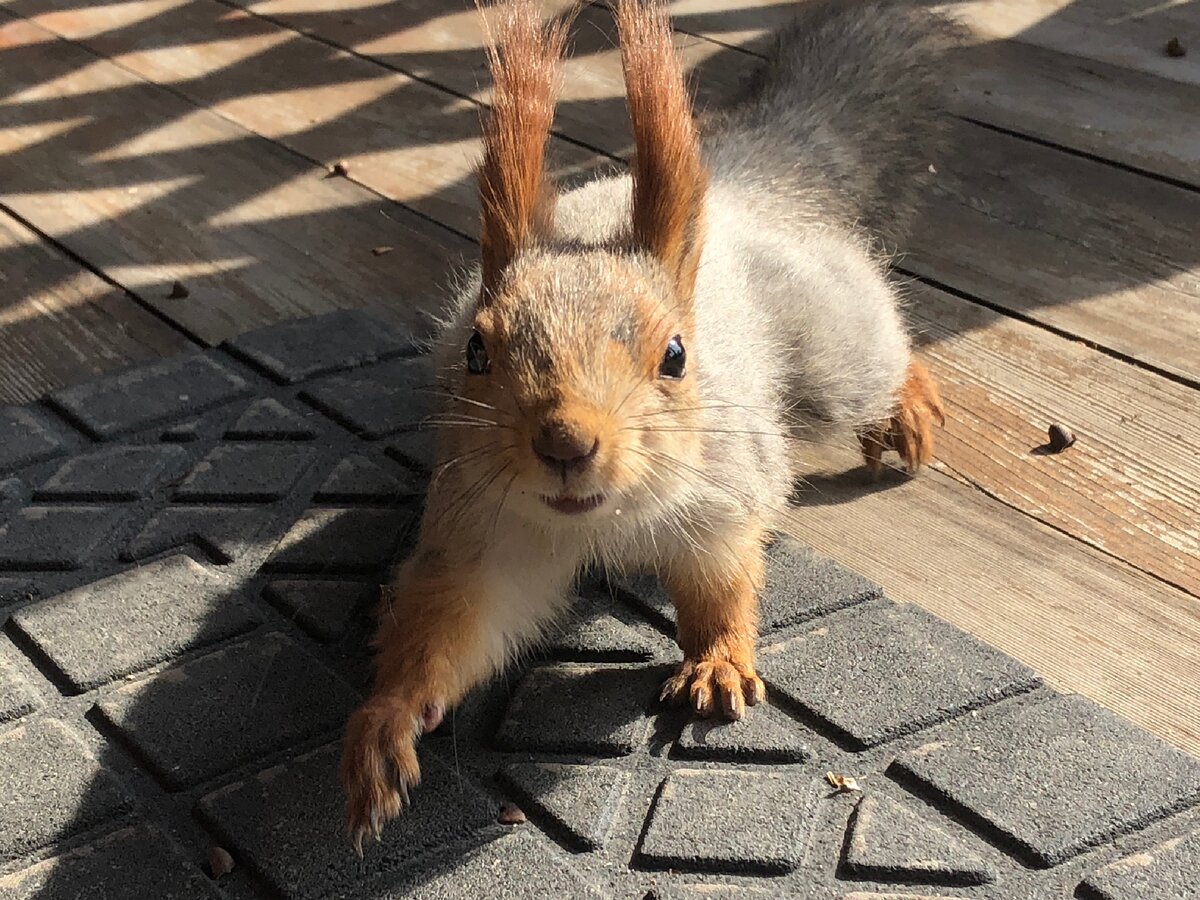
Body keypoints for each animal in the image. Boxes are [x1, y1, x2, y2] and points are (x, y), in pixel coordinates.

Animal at [340, 0, 955, 854]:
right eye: (476, 351)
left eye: (675, 355)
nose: (565, 444)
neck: (603, 520)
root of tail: (743, 185)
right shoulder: (484, 531)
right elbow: (459, 626)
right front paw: (386, 720)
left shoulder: (720, 497)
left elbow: (721, 582)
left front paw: (718, 660)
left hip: (838, 350)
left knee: (882, 354)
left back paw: (910, 402)